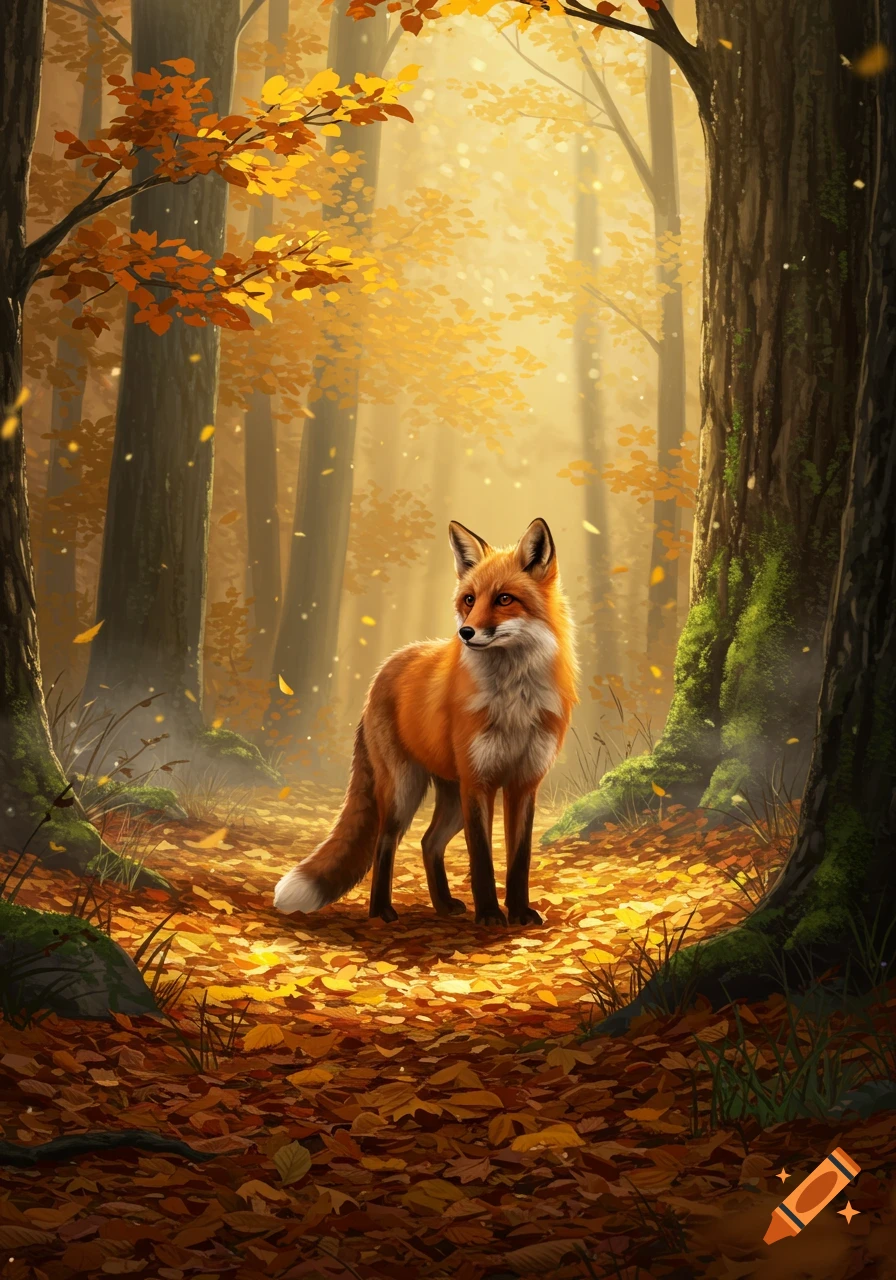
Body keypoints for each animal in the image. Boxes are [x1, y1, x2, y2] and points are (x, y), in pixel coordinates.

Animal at [273, 517, 578, 927]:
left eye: (504, 599)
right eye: (469, 600)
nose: (465, 633)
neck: (514, 700)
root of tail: (384, 669)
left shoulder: (523, 783)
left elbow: (519, 859)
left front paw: (518, 913)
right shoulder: (478, 782)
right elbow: (482, 859)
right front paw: (489, 915)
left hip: (451, 799)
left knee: (428, 841)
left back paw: (443, 905)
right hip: (406, 790)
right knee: (385, 842)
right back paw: (381, 911)